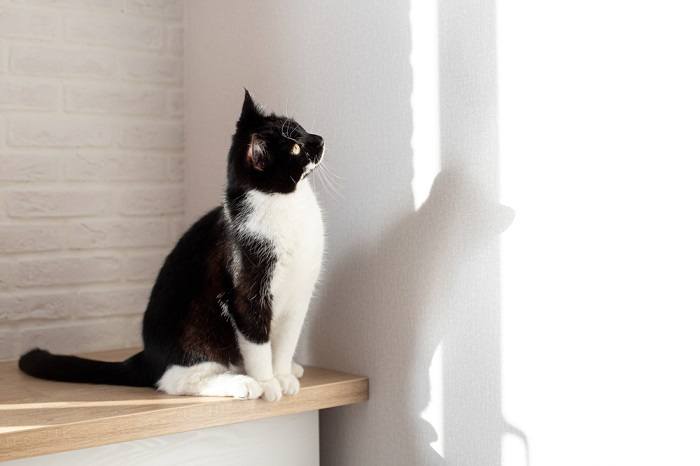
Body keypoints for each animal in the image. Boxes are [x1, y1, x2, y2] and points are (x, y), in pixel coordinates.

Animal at [19, 90, 326, 400]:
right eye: (295, 148)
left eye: (299, 127)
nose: (320, 139)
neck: (285, 205)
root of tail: (147, 358)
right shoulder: (247, 292)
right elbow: (257, 343)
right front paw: (268, 383)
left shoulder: (299, 295)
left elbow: (287, 341)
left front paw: (284, 374)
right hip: (194, 332)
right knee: (176, 381)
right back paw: (242, 383)